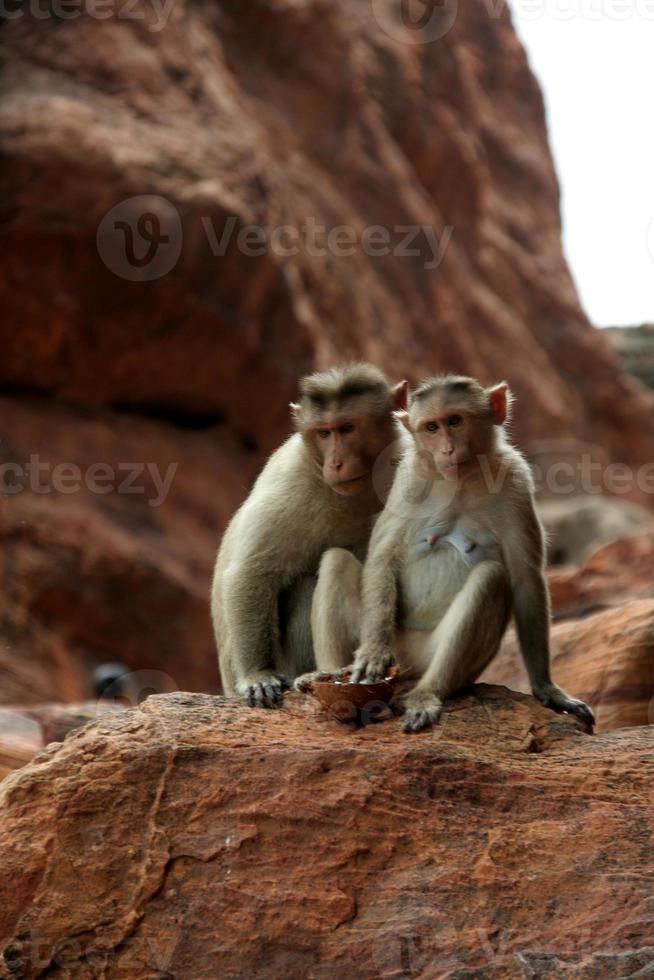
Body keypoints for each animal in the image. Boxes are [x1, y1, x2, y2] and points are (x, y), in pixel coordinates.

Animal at [213, 364, 410, 708]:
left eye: (347, 428)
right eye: (324, 433)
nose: (336, 462)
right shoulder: (291, 481)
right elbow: (250, 573)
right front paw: (258, 675)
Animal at [310, 376, 596, 736]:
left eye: (455, 421)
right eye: (431, 427)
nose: (446, 449)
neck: (460, 479)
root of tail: (408, 666)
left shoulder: (516, 482)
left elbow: (525, 579)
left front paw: (548, 690)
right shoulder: (408, 478)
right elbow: (381, 560)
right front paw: (373, 652)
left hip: (429, 657)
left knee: (490, 579)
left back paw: (427, 694)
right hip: (397, 643)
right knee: (337, 560)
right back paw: (330, 676)